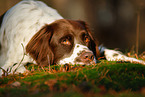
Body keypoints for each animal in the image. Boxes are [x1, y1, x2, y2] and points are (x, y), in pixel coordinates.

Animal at [0, 0, 145, 76]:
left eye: (86, 38)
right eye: (64, 41)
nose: (88, 56)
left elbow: (111, 52)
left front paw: (136, 61)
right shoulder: (9, 63)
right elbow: (16, 67)